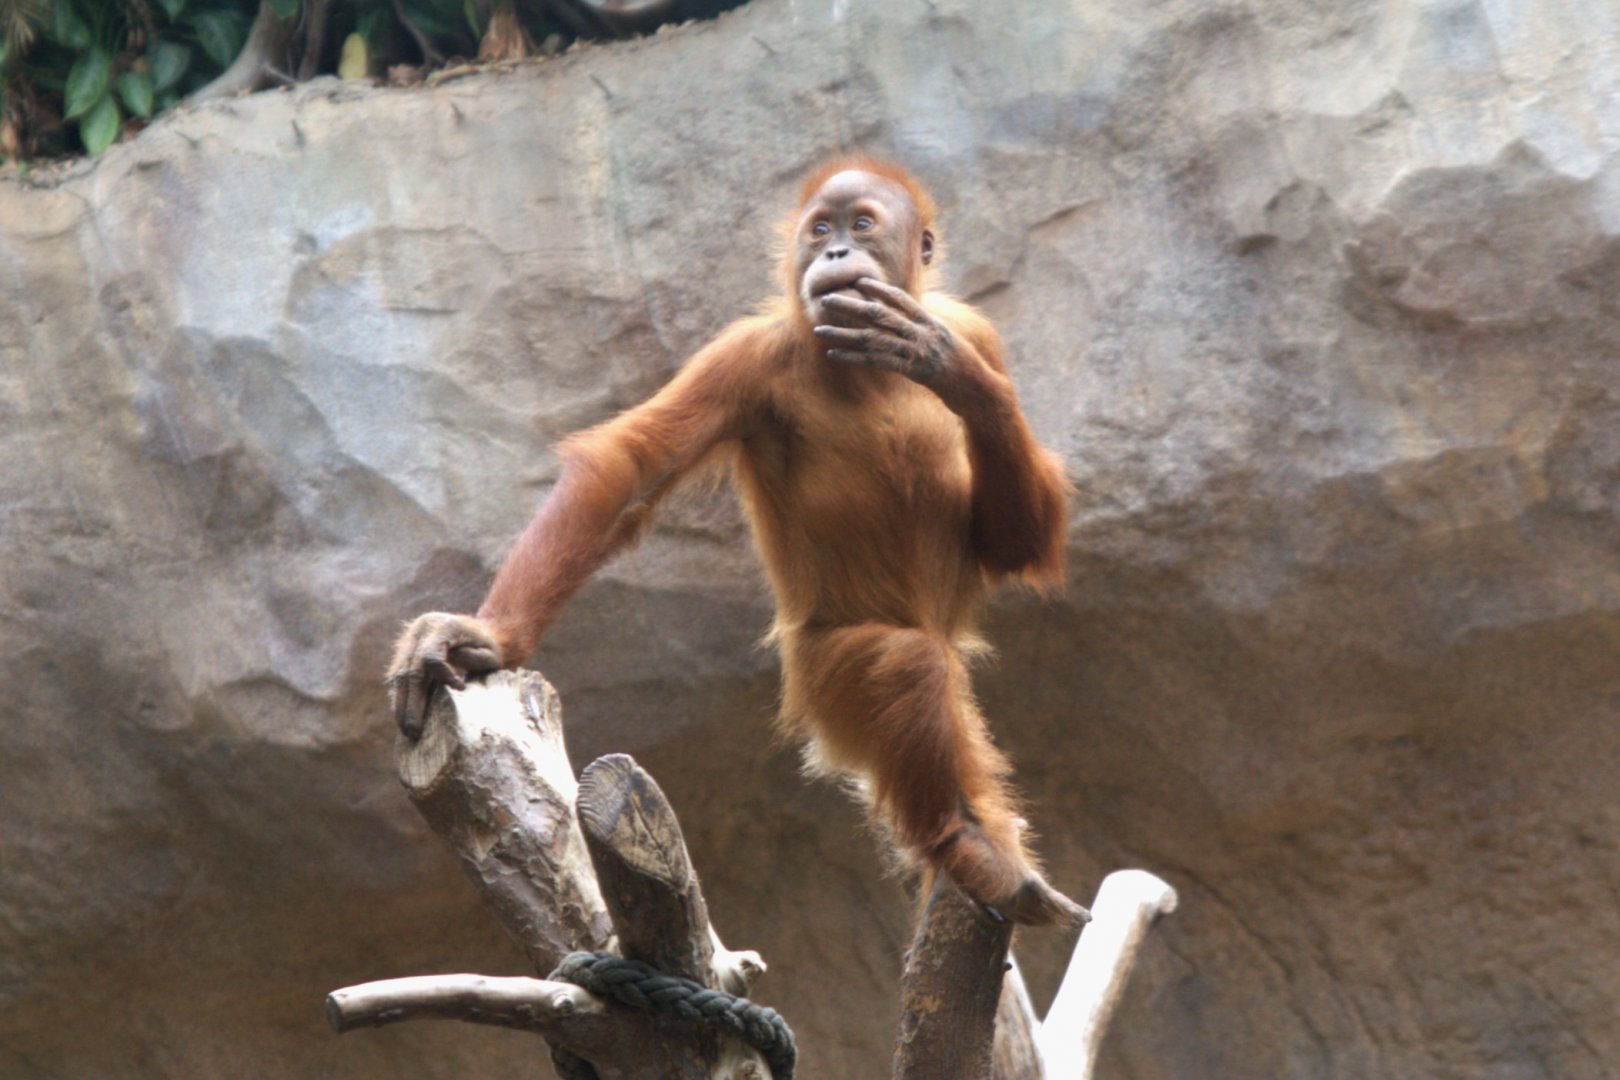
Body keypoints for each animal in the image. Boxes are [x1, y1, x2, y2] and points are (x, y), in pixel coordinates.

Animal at [388, 158, 1086, 926]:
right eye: (820, 229)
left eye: (861, 224)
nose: (835, 253)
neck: (865, 368)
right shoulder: (745, 358)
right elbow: (630, 470)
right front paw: (486, 636)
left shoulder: (976, 330)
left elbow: (1008, 543)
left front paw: (953, 372)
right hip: (819, 674)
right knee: (905, 662)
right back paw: (966, 842)